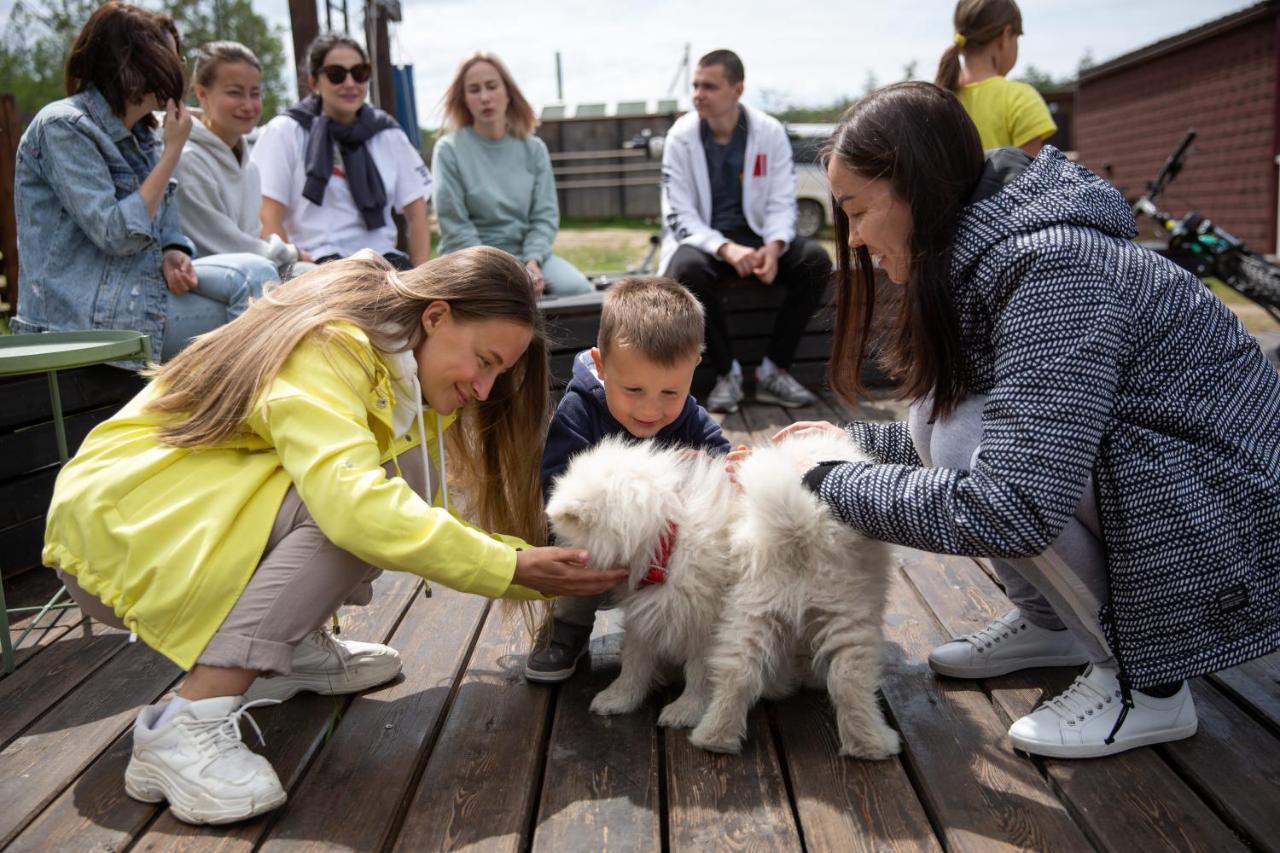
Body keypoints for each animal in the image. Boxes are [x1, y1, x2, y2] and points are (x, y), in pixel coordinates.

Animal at [547, 427, 901, 753]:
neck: (668, 535)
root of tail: (801, 525)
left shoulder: (703, 621)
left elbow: (697, 671)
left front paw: (685, 708)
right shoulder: (650, 613)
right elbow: (636, 660)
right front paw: (620, 698)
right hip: (790, 609)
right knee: (835, 676)